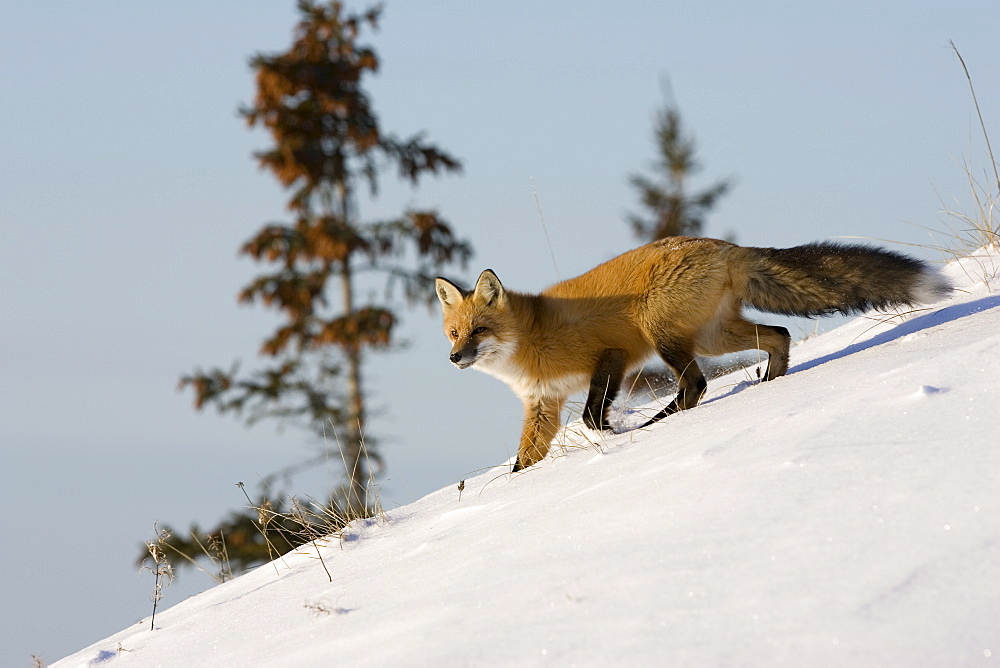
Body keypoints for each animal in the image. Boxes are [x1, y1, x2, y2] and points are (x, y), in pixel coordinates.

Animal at [434, 237, 948, 472]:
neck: (531, 340)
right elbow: (525, 460)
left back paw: (659, 423)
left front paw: (613, 435)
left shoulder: (612, 355)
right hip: (713, 337)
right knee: (778, 334)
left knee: (696, 384)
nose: (456, 358)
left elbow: (592, 416)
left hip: (663, 335)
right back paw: (773, 382)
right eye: (454, 333)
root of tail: (726, 246)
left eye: (479, 330)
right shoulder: (542, 405)